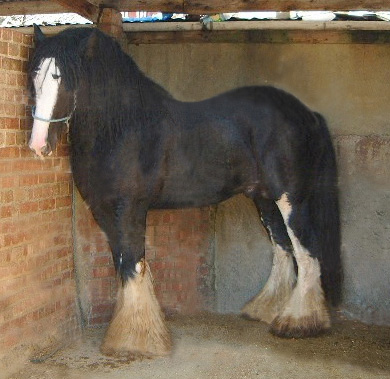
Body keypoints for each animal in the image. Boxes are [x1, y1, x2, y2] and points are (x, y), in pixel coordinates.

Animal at [29, 26, 340, 360]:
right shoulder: (105, 212)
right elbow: (121, 266)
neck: (123, 129)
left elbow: (133, 264)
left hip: (292, 198)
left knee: (307, 250)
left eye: (64, 79)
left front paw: (138, 340)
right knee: (283, 247)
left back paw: (299, 322)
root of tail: (307, 113)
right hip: (264, 198)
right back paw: (267, 309)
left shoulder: (131, 209)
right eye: (34, 77)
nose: (38, 144)